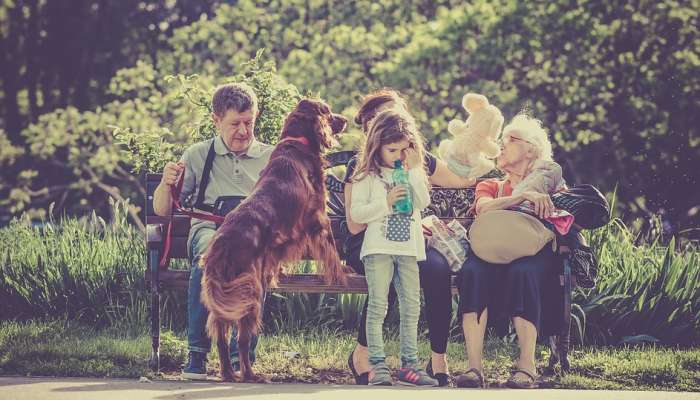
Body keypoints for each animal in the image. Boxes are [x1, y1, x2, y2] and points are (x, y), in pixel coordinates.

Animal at [200, 98, 348, 382]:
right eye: (326, 110)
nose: (346, 119)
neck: (297, 142)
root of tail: (221, 246)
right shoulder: (318, 217)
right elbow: (331, 249)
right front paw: (343, 273)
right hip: (250, 294)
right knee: (242, 339)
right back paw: (250, 375)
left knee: (222, 337)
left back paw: (228, 373)